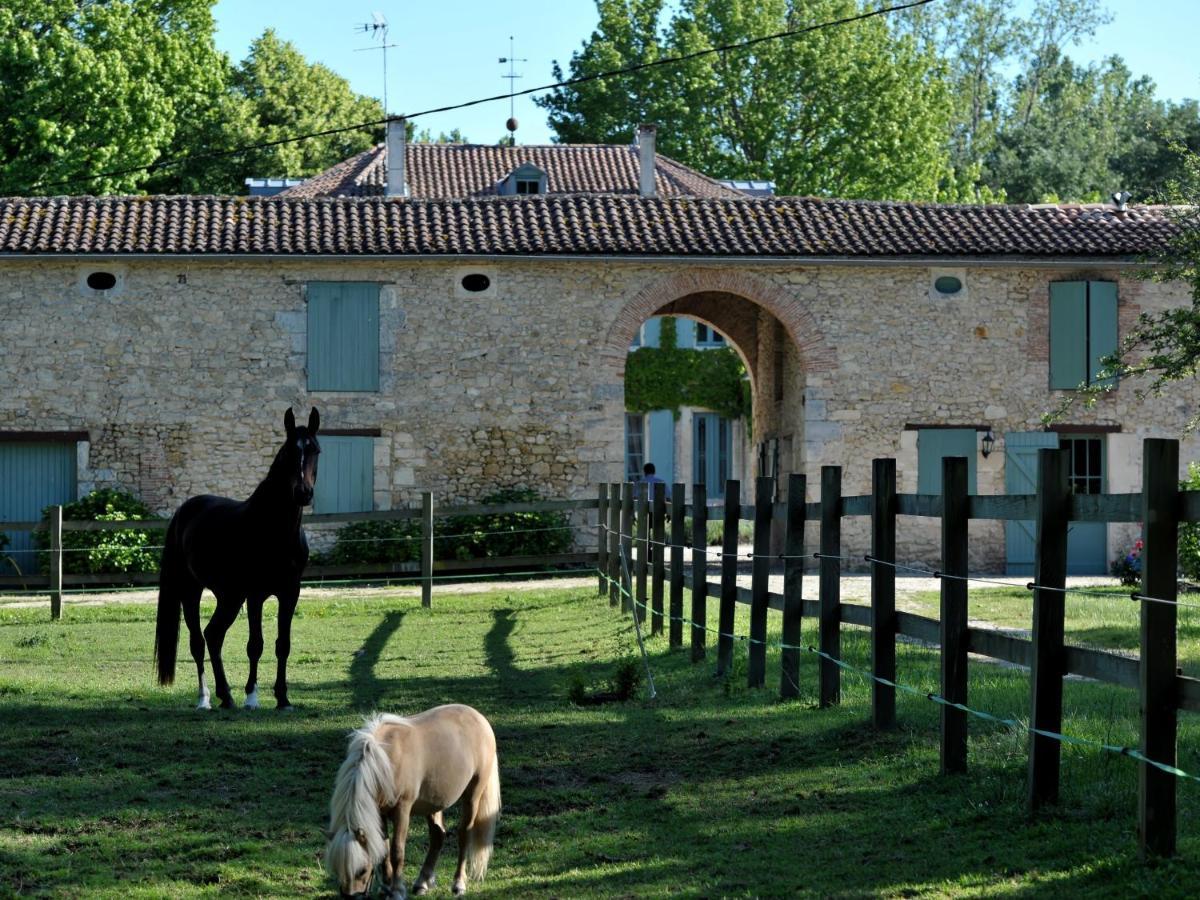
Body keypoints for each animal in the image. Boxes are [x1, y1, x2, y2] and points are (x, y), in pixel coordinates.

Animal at [154, 408, 319, 710]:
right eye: (290, 451)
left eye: (315, 450)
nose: (303, 492)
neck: (273, 529)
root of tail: (184, 511)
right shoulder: (255, 595)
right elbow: (255, 644)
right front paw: (252, 697)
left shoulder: (290, 592)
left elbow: (283, 644)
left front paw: (283, 698)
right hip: (191, 590)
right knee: (198, 641)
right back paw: (205, 698)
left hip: (229, 597)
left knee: (213, 635)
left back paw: (226, 695)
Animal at [326, 710, 499, 897]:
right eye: (337, 870)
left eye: (362, 870)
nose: (350, 897)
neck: (386, 760)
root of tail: (479, 718)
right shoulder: (379, 812)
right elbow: (384, 850)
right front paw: (386, 888)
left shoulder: (402, 809)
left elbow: (397, 851)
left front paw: (397, 890)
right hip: (434, 803)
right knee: (438, 836)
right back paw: (422, 882)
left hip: (472, 797)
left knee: (464, 834)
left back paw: (458, 884)